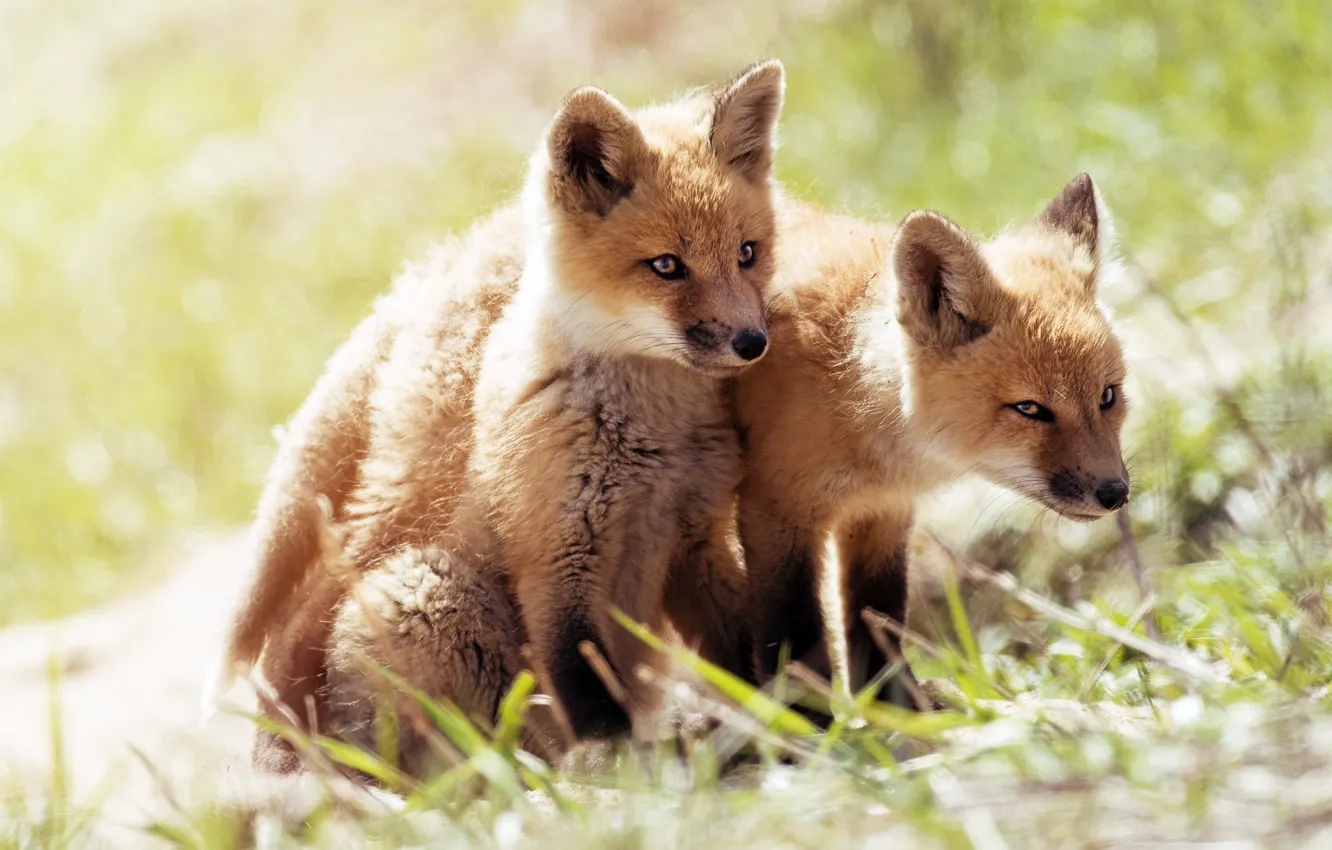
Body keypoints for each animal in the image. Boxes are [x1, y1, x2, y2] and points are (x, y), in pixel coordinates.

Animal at [209, 61, 787, 771]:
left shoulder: (695, 536)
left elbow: (739, 652)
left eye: (747, 253)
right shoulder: (559, 558)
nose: (752, 343)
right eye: (666, 266)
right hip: (426, 589)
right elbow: (587, 692)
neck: (649, 445)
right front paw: (619, 772)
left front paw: (786, 721)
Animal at [736, 174, 1130, 702]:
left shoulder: (882, 513)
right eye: (1030, 409)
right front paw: (805, 720)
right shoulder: (776, 513)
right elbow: (793, 645)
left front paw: (897, 709)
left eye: (1107, 397)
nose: (1115, 493)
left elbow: (878, 622)